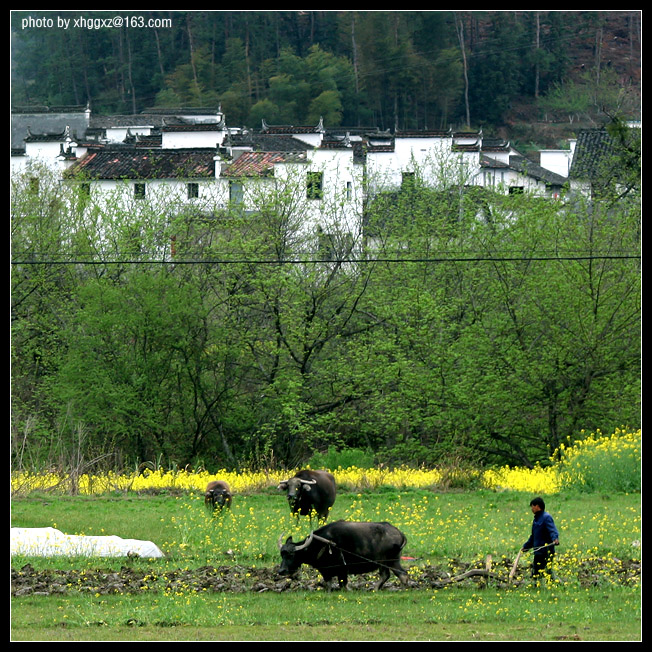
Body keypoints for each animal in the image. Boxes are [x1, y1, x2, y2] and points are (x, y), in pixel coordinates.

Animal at [278, 520, 410, 592]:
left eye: (291, 554)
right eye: (282, 555)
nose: (281, 571)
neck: (324, 543)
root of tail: (399, 533)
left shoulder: (342, 570)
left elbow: (343, 584)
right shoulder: (325, 571)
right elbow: (329, 584)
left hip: (386, 560)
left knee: (393, 575)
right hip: (391, 561)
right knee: (396, 574)